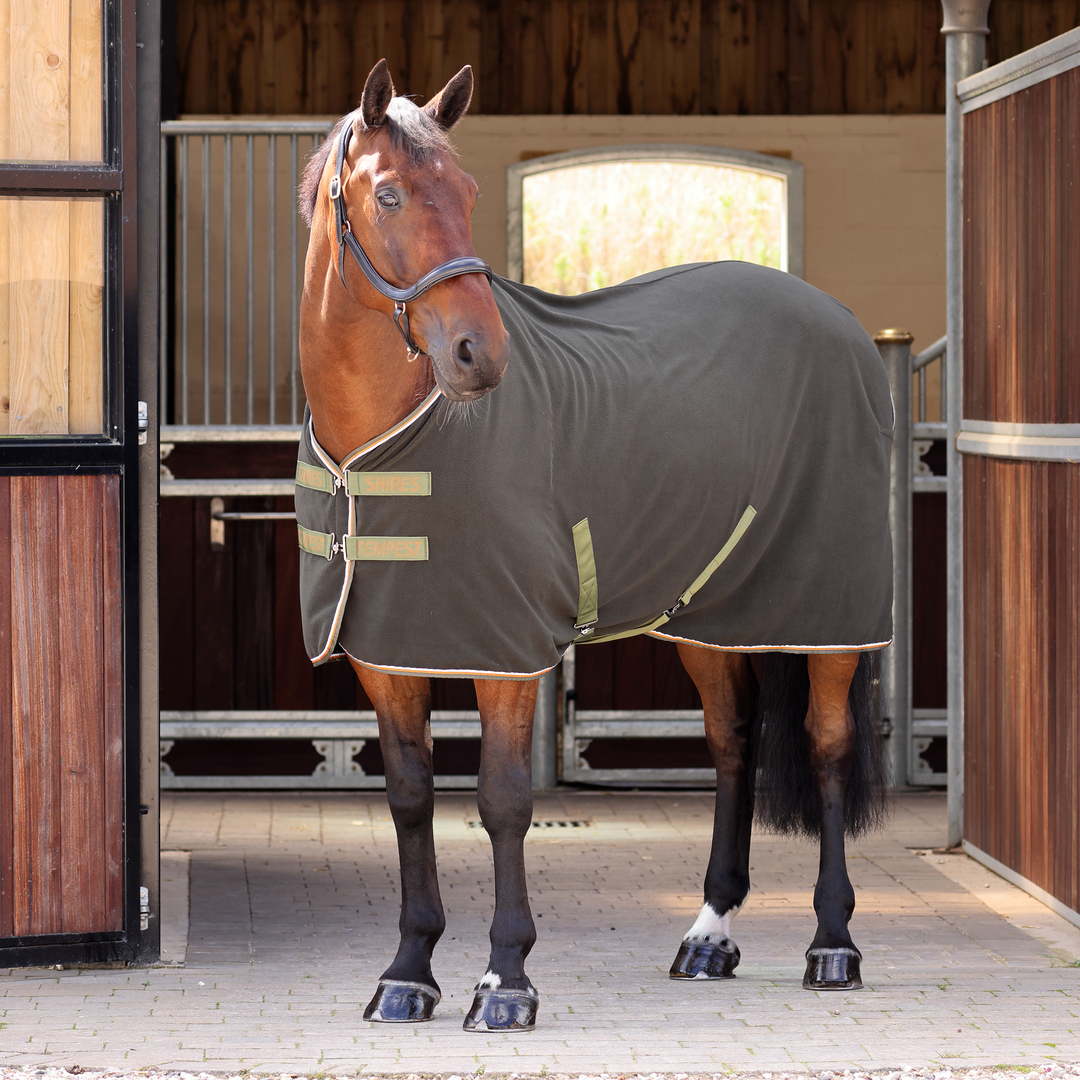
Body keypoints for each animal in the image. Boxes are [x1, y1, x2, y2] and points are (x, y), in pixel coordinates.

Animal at [296, 59, 892, 1032]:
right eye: (387, 194)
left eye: (466, 190)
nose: (479, 355)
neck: (376, 446)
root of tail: (837, 318)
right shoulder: (387, 654)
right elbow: (411, 799)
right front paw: (408, 973)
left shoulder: (505, 655)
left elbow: (501, 802)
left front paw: (505, 982)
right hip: (711, 616)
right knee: (732, 745)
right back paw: (708, 936)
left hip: (826, 615)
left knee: (830, 747)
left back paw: (832, 945)